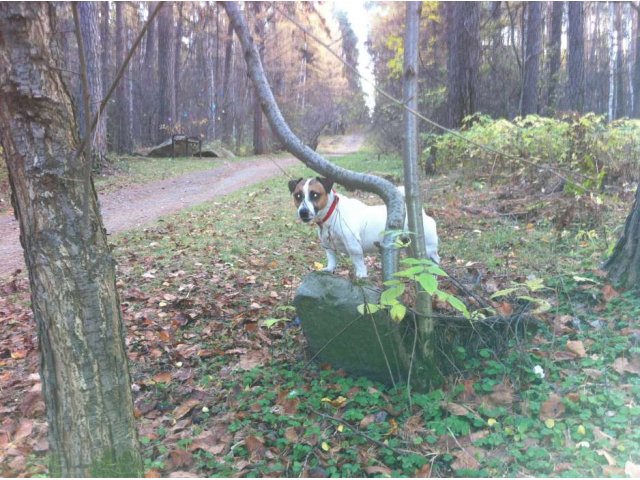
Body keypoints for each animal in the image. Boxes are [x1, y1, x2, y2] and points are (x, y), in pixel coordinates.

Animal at [288, 177, 440, 278]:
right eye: (298, 196)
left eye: (315, 194)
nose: (303, 212)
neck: (332, 213)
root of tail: (421, 212)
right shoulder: (327, 245)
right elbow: (331, 258)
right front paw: (329, 269)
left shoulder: (353, 245)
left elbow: (358, 261)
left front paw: (361, 274)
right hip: (409, 246)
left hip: (428, 248)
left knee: (435, 260)